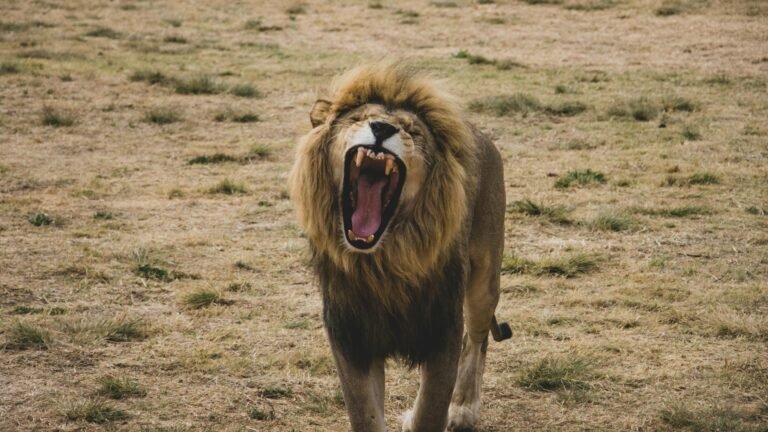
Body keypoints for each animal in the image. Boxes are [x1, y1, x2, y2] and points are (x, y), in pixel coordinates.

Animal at [289, 62, 511, 432]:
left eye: (412, 130)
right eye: (358, 118)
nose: (381, 127)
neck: (385, 261)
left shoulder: (442, 330)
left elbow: (430, 411)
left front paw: (443, 411)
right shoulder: (352, 337)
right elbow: (365, 414)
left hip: (484, 278)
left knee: (477, 340)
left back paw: (463, 408)